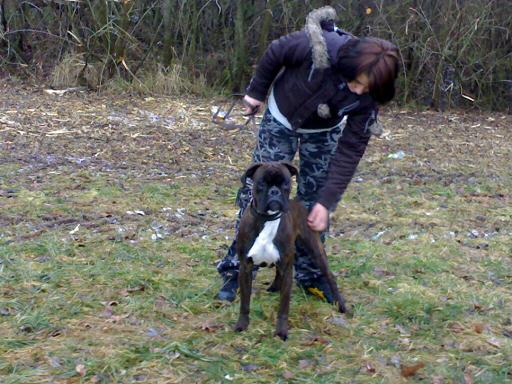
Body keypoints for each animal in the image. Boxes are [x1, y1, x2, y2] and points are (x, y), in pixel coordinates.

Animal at [234, 160, 346, 340]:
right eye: (262, 183)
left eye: (285, 183)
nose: (274, 191)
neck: (267, 219)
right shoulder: (246, 267)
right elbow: (245, 302)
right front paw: (242, 324)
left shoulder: (287, 270)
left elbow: (283, 306)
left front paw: (281, 331)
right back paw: (274, 287)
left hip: (315, 250)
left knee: (330, 277)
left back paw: (341, 305)